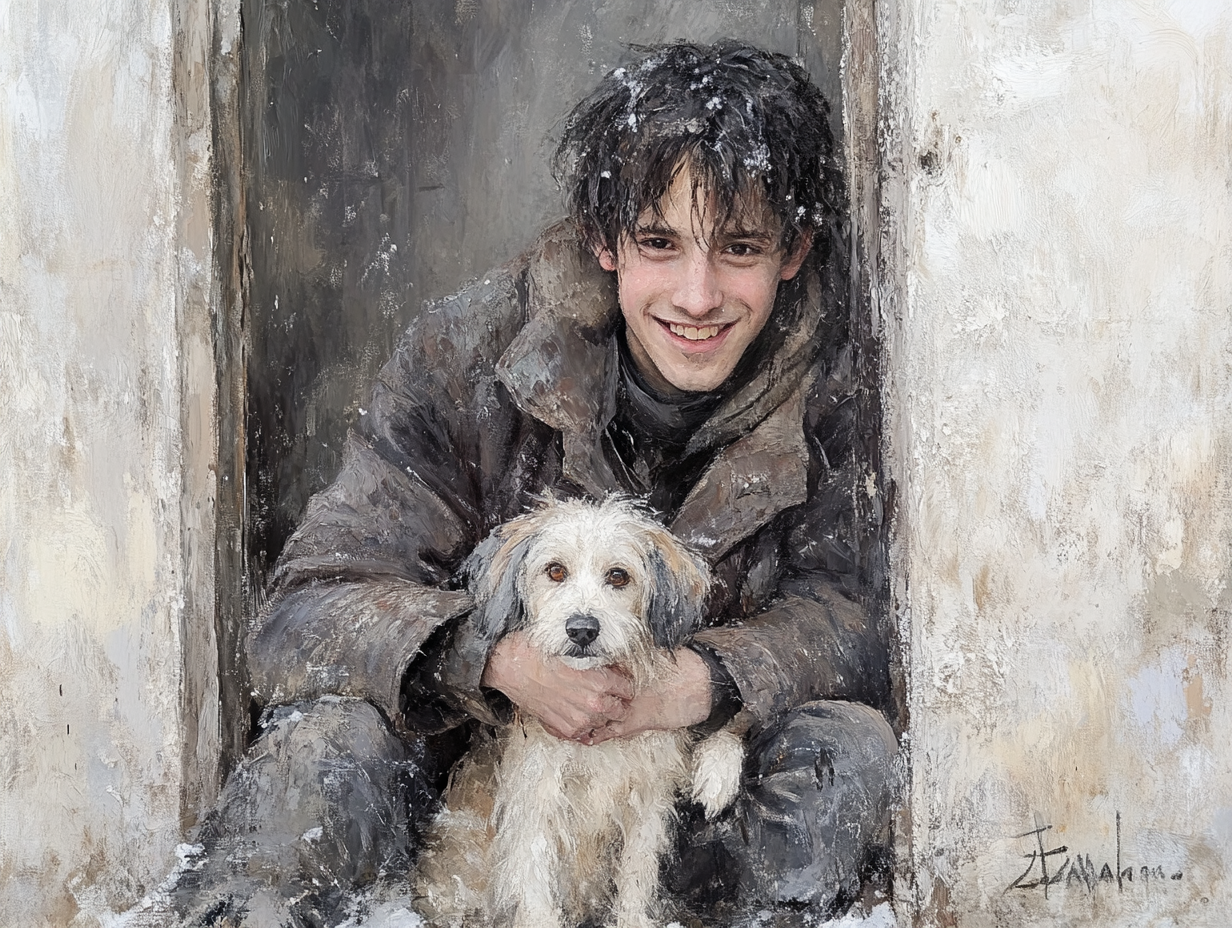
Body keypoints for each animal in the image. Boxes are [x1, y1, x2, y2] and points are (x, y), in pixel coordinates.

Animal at [413, 495, 739, 926]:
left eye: (618, 576)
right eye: (555, 571)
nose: (582, 629)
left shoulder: (647, 800)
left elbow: (636, 876)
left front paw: (719, 769)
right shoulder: (533, 804)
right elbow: (535, 892)